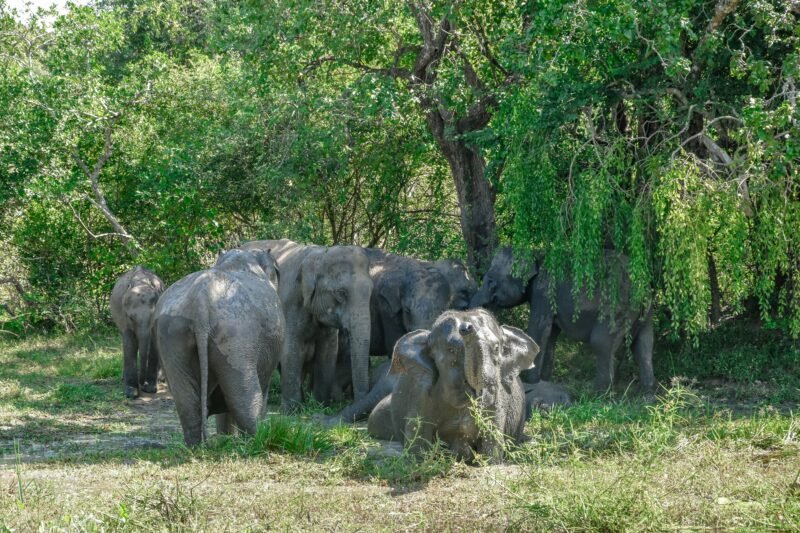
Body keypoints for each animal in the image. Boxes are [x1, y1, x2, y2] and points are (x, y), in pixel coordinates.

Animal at [110, 265, 165, 399]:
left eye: (154, 317)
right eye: (131, 318)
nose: (142, 385)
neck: (141, 283)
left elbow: (153, 345)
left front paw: (150, 389)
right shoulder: (123, 317)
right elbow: (129, 343)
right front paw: (131, 392)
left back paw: (160, 379)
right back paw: (123, 379)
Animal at [154, 249, 284, 446]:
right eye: (278, 270)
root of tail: (199, 300)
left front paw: (226, 437)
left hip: (171, 336)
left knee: (186, 401)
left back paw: (196, 446)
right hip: (236, 336)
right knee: (243, 396)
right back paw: (256, 441)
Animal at [239, 239, 373, 411]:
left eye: (371, 291)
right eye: (341, 293)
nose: (354, 402)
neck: (319, 254)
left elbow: (328, 351)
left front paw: (321, 405)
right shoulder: (289, 304)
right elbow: (291, 350)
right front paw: (291, 411)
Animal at [367, 309, 539, 462]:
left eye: (496, 349)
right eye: (451, 351)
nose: (467, 327)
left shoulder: (499, 397)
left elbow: (492, 444)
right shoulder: (421, 392)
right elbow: (417, 445)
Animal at [470, 247, 655, 392]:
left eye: (491, 282)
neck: (535, 253)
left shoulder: (543, 291)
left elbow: (539, 331)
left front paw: (530, 384)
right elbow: (551, 334)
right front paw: (544, 381)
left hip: (617, 308)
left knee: (601, 343)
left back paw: (598, 394)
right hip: (644, 313)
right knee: (643, 345)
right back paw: (647, 395)